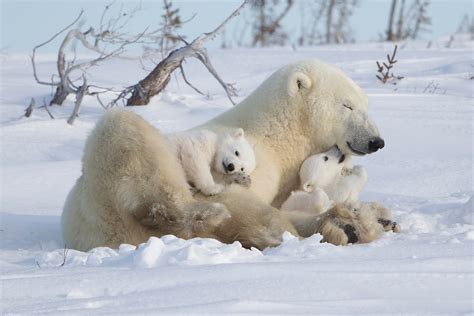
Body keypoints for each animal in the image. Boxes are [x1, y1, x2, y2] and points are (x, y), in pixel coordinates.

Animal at [62, 60, 388, 251]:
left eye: (366, 104)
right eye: (347, 105)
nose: (377, 141)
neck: (276, 134)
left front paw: (359, 220)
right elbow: (245, 203)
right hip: (107, 189)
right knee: (124, 132)